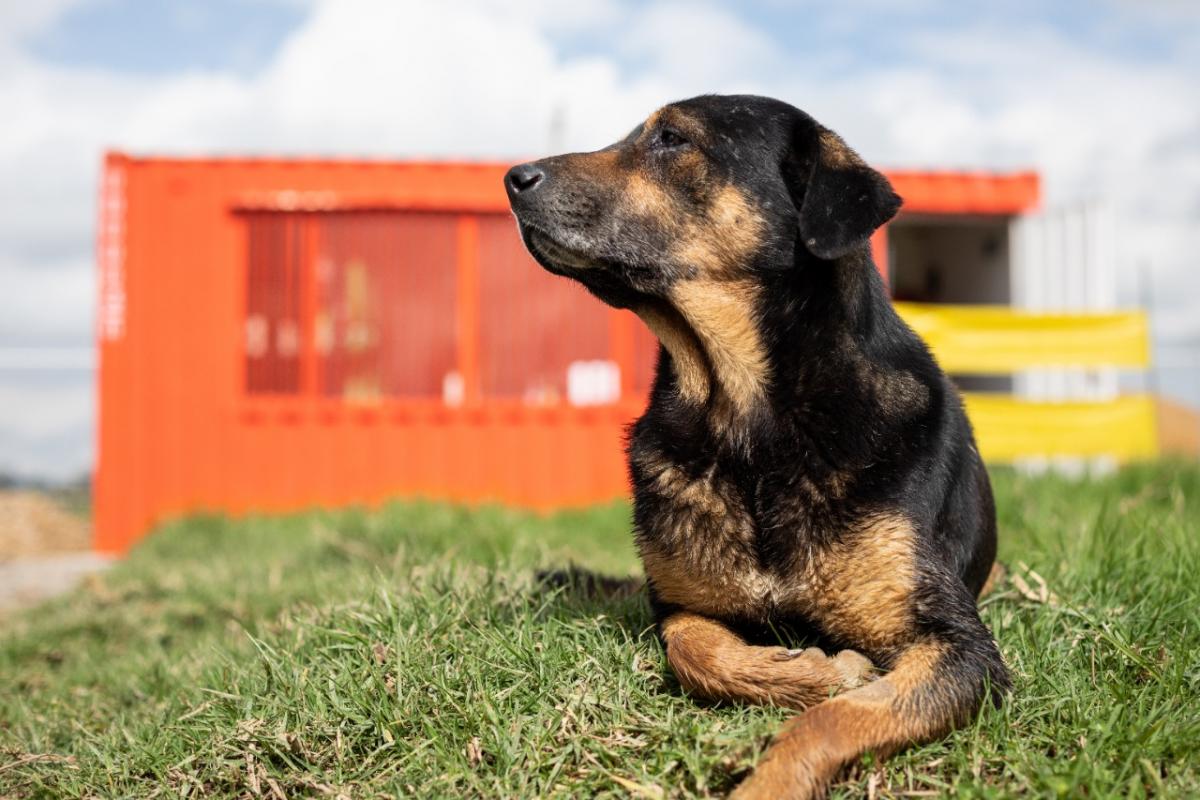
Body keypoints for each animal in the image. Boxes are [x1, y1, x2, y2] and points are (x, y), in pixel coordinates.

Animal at [501, 97, 1008, 796]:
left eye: (671, 138)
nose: (511, 178)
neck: (748, 420)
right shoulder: (679, 606)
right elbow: (697, 651)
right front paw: (815, 671)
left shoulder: (960, 647)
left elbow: (836, 718)